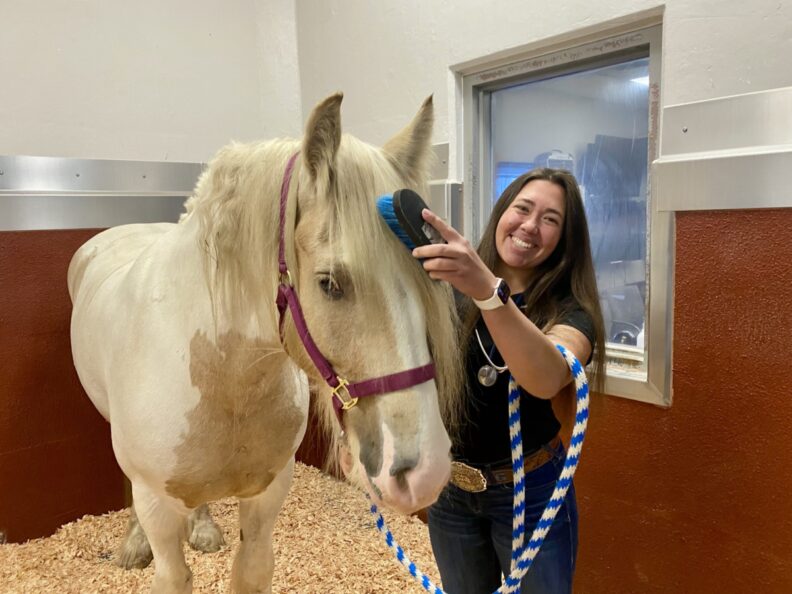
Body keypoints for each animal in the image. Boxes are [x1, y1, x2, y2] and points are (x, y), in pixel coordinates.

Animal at [67, 92, 462, 593]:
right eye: (330, 284)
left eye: (428, 276)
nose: (425, 472)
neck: (227, 377)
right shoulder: (157, 504)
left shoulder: (268, 494)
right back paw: (134, 543)